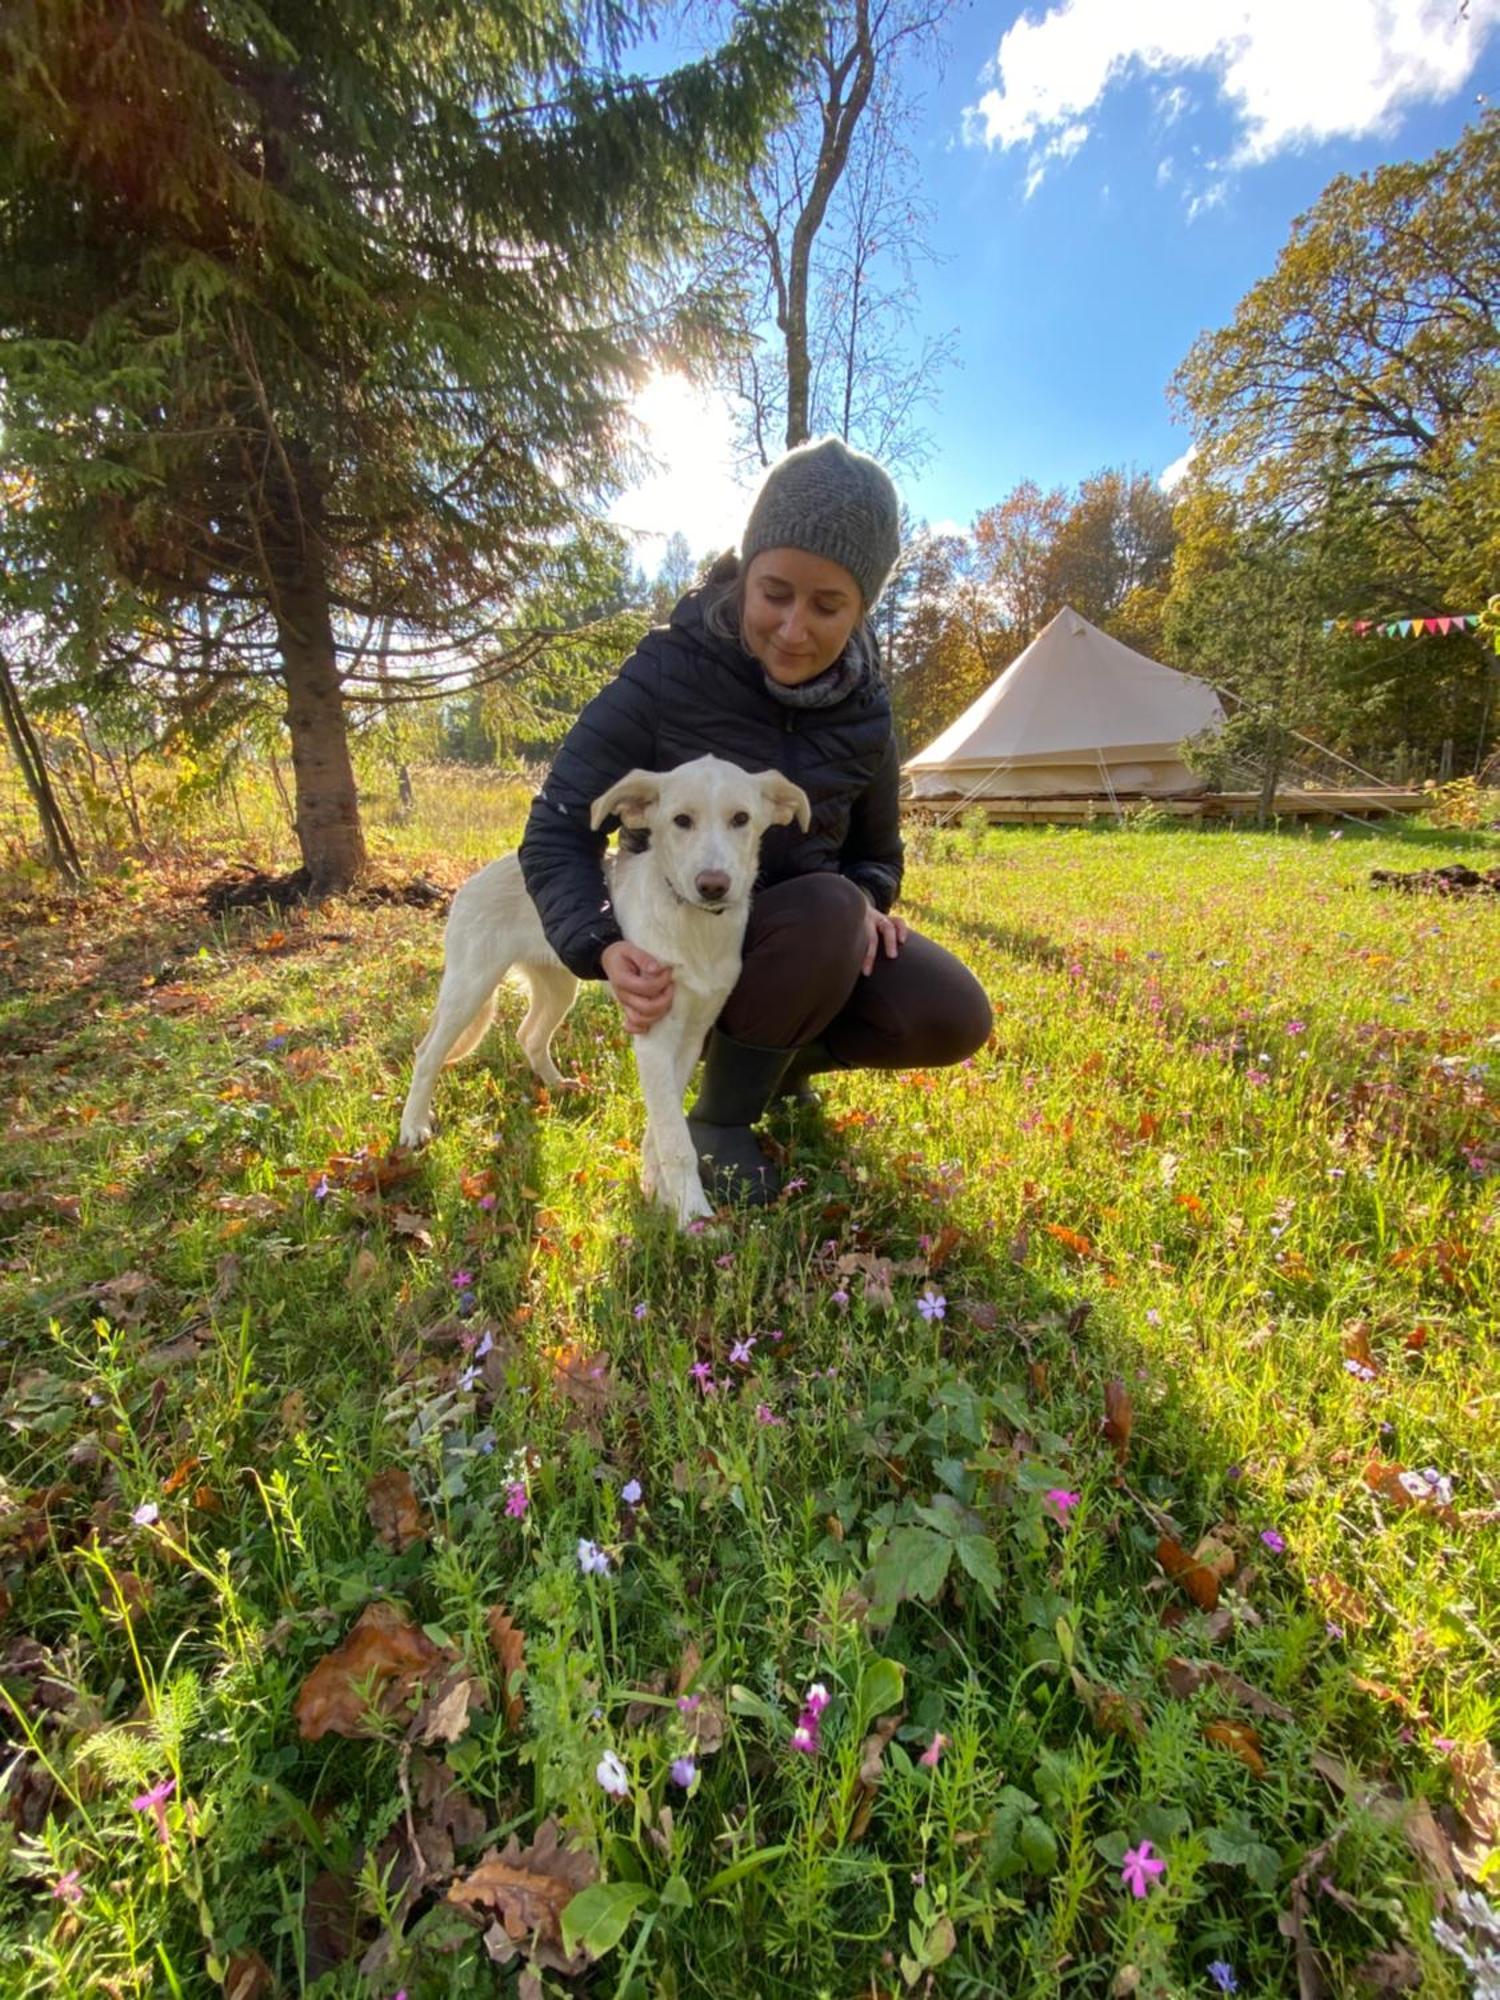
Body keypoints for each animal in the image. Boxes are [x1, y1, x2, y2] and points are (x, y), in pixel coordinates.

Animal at [400, 752, 812, 1216]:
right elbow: (676, 1141)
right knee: (427, 1054)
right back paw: (414, 1126)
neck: (696, 930)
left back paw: (557, 1085)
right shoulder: (653, 1033)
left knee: (529, 1034)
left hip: (559, 986)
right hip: (470, 986)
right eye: (681, 820)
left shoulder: (690, 1035)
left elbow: (662, 1125)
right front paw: (693, 1216)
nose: (713, 886)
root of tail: (473, 878)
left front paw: (657, 1193)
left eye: (741, 818)